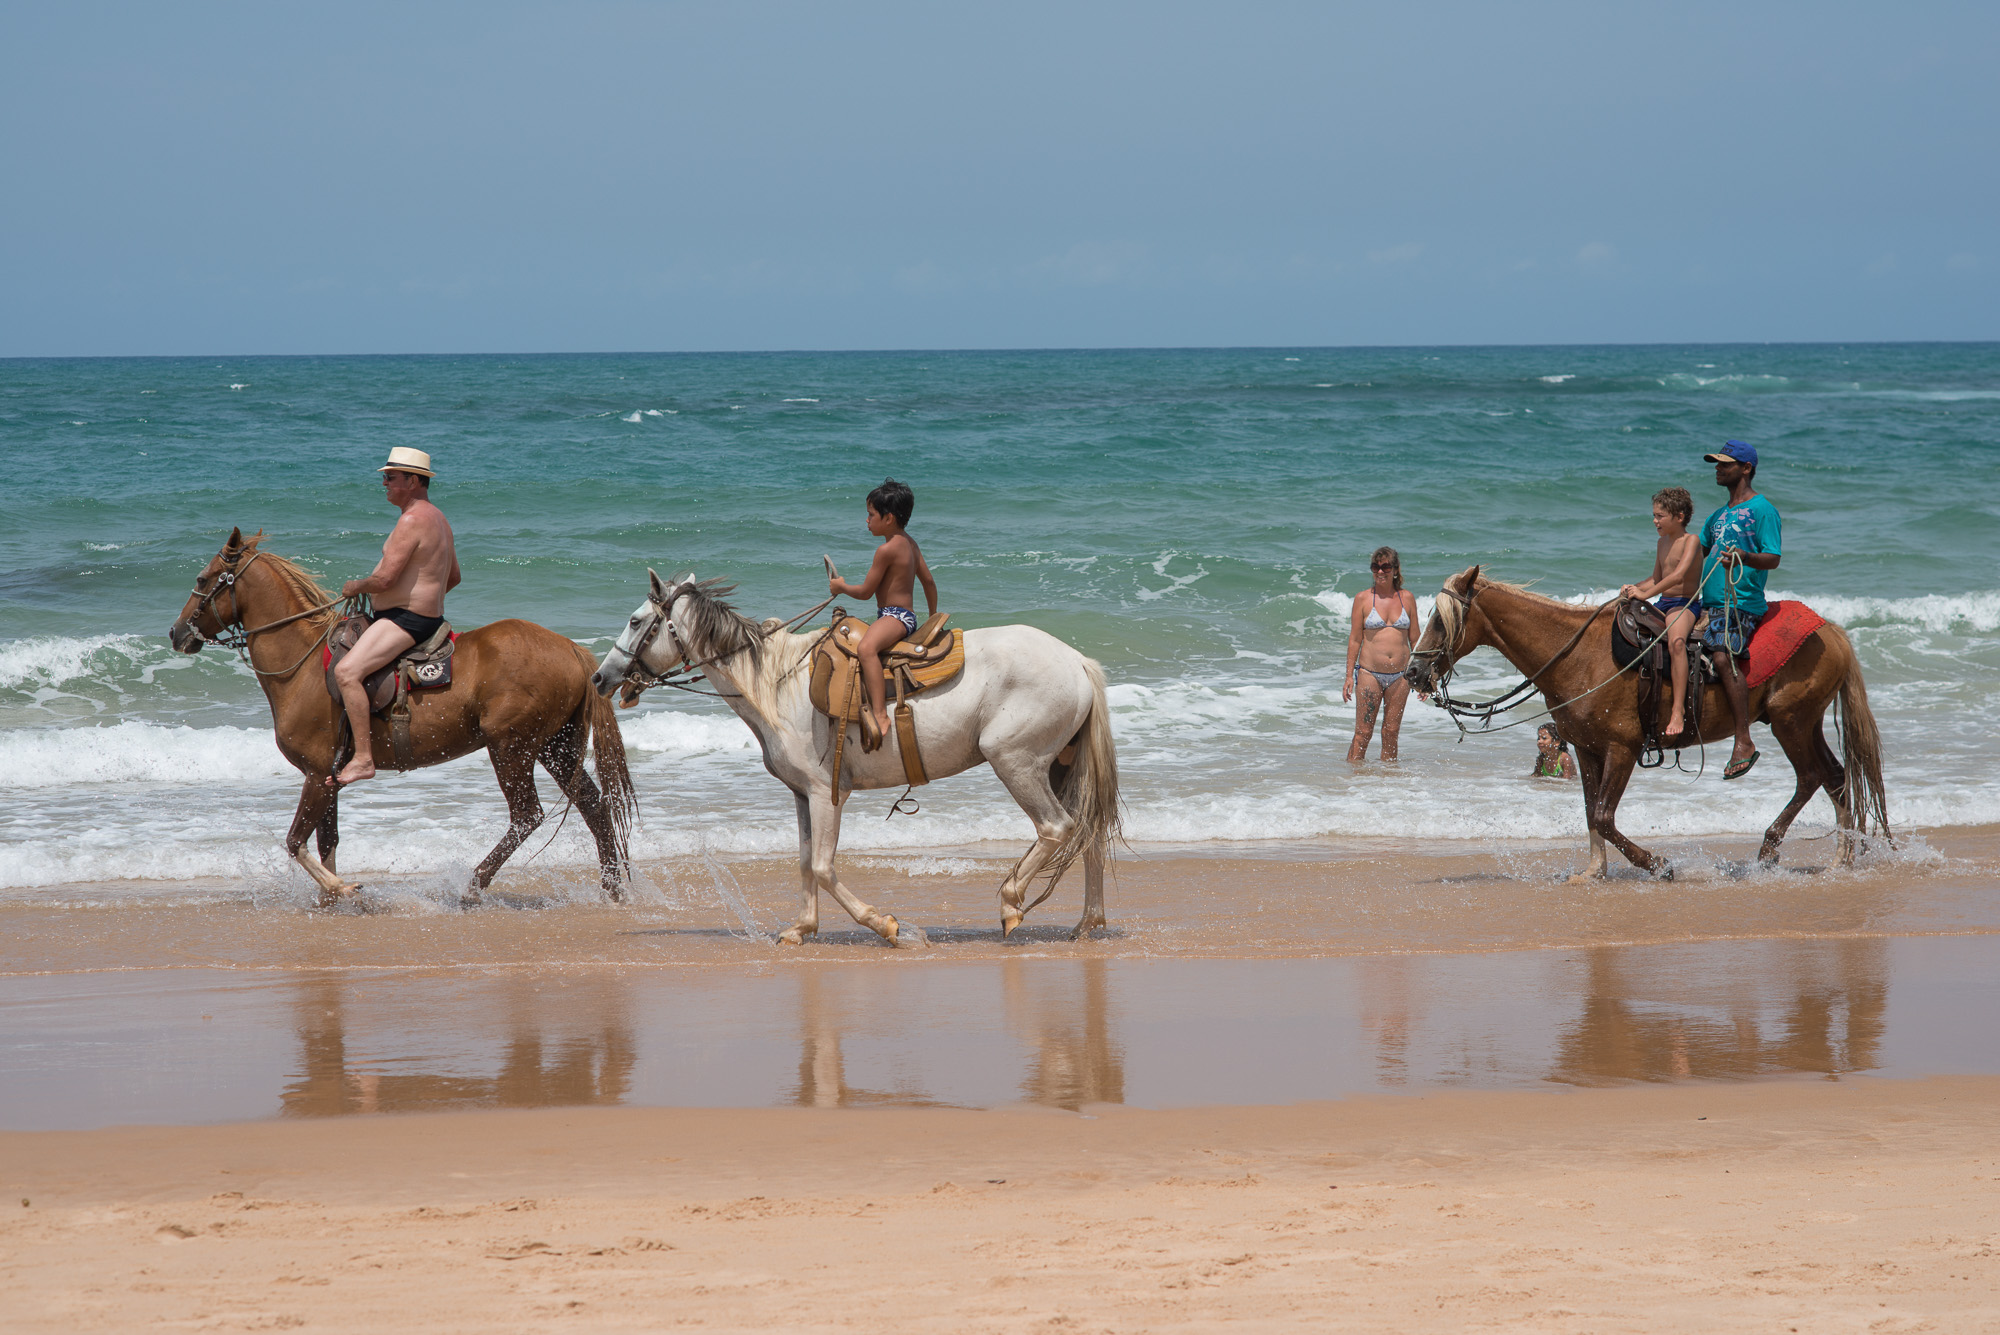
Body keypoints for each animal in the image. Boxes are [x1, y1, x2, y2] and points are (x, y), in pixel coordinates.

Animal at [171, 527, 628, 903]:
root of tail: (571, 648)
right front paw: (331, 898)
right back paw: (612, 887)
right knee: (593, 805)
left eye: (202, 580)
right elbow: (326, 841)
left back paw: (473, 883)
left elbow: (295, 841)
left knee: (527, 816)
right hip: (555, 747)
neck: (300, 669)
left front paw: (343, 888)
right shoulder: (327, 779)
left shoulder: (317, 774)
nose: (175, 633)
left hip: (511, 748)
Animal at [592, 575, 1128, 947]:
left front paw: (891, 928)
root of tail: (1077, 662)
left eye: (636, 621)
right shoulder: (802, 795)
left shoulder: (827, 793)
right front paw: (801, 928)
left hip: (1015, 762)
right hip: (1059, 765)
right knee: (1086, 832)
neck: (778, 684)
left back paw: (1012, 903)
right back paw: (1087, 923)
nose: (600, 677)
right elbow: (805, 861)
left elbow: (824, 868)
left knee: (1057, 828)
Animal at [1408, 567, 1888, 879]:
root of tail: (1831, 631)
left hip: (1791, 723)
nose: (1413, 672)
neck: (1579, 657)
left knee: (1811, 776)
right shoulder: (1586, 749)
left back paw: (1773, 848)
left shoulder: (1622, 749)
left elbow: (1604, 816)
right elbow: (1590, 813)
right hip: (1803, 722)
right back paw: (1841, 859)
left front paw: (1659, 864)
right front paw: (1594, 872)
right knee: (1835, 777)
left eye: (1440, 621)